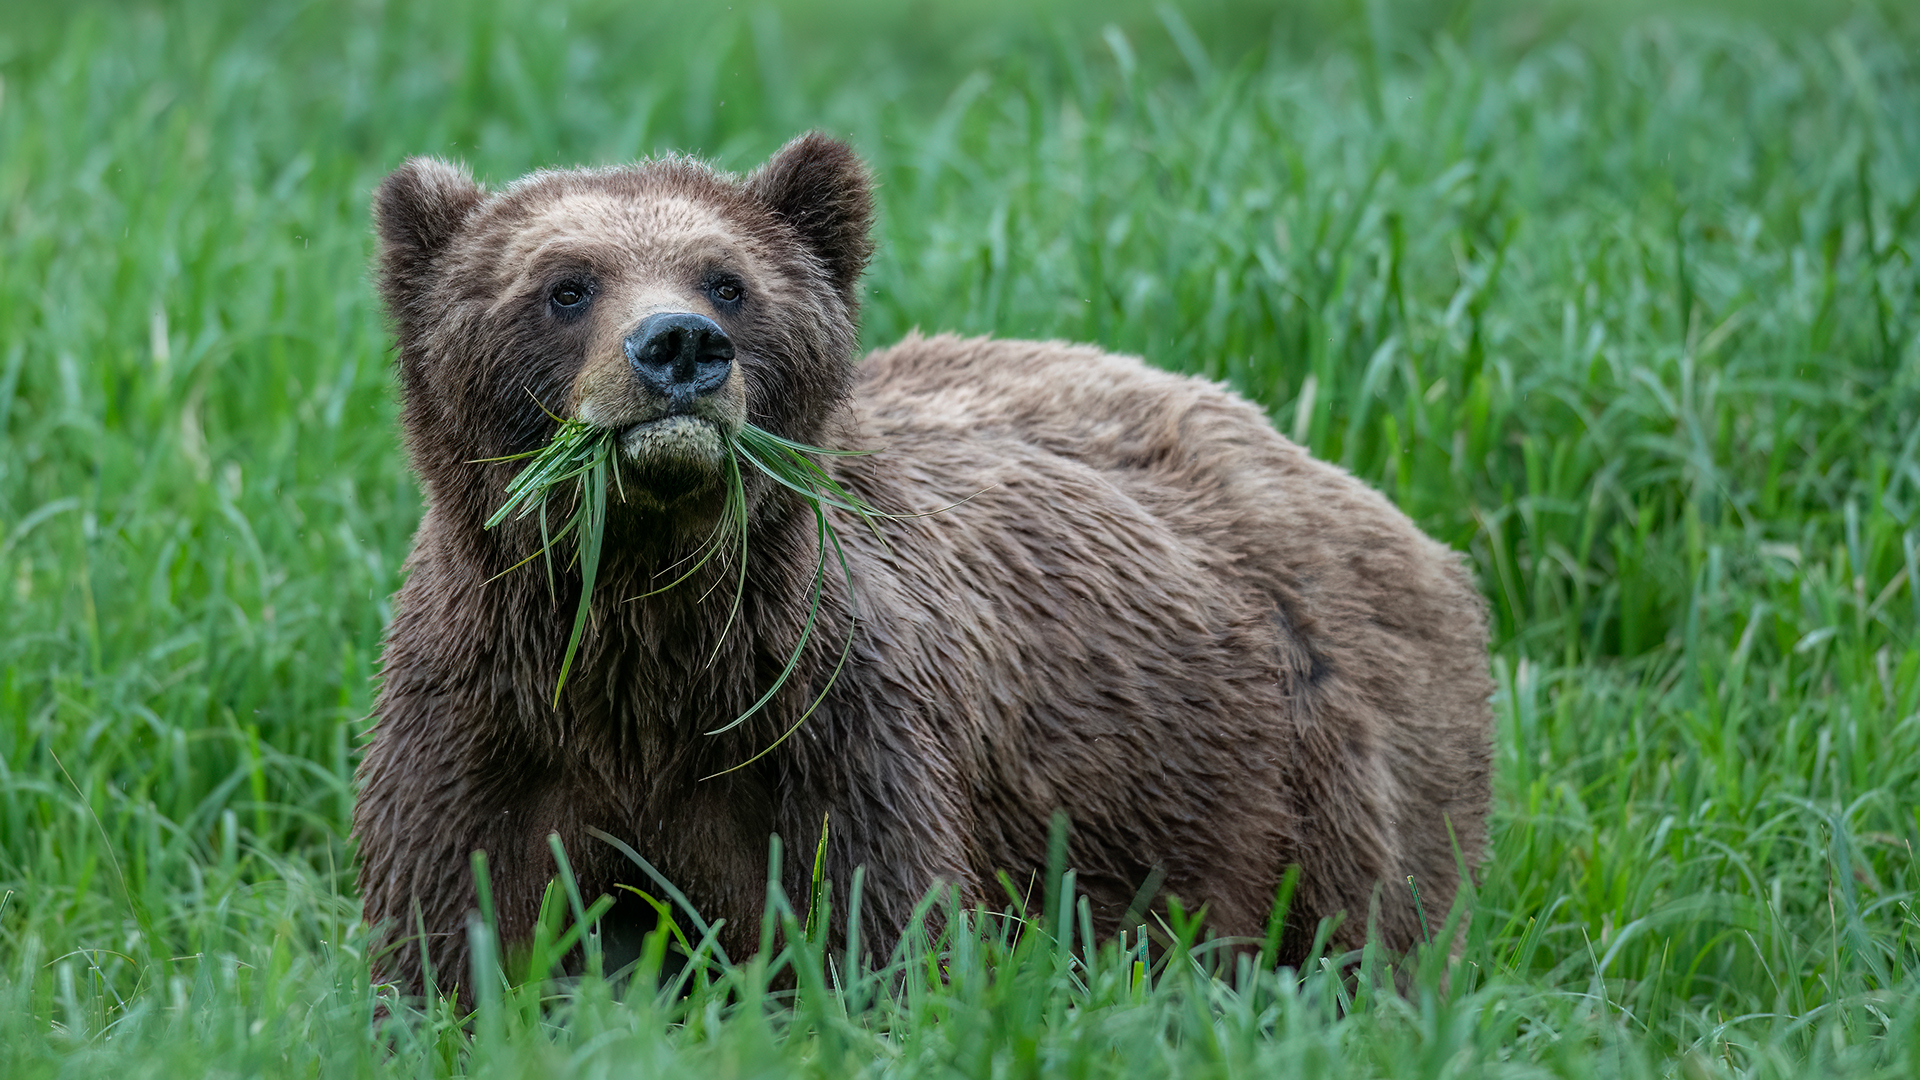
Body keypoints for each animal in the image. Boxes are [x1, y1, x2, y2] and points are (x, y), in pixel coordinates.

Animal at [354, 131, 1494, 999]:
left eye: (729, 280)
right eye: (566, 285)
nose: (679, 346)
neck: (644, 653)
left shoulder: (824, 728)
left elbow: (877, 927)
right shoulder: (494, 722)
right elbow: (453, 931)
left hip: (1325, 753)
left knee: (1372, 923)